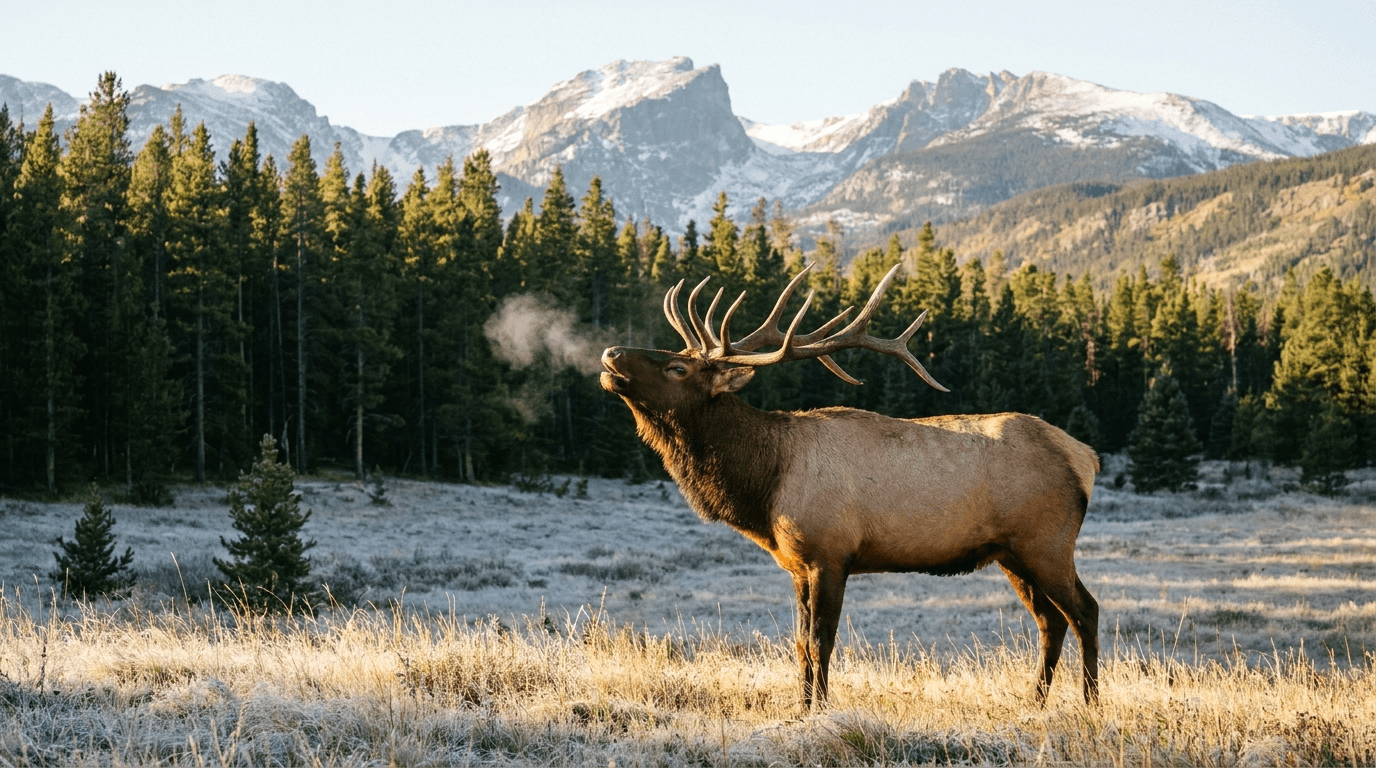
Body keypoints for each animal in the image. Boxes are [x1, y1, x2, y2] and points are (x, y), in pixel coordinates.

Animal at [599, 263, 1100, 710]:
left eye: (678, 369)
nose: (610, 354)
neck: (765, 484)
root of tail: (1086, 456)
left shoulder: (830, 552)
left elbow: (822, 642)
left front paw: (820, 708)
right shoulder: (797, 564)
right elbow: (800, 644)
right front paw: (801, 707)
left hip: (1046, 541)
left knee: (1085, 611)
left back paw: (1090, 702)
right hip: (1010, 553)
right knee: (1050, 621)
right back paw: (1035, 701)